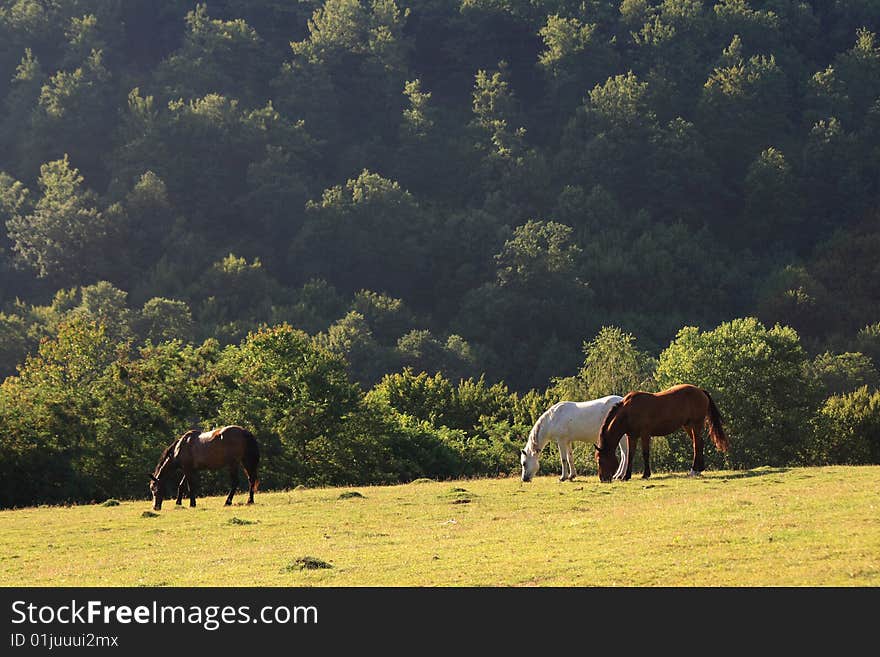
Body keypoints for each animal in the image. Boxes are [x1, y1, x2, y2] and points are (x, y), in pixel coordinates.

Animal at [596, 384, 732, 482]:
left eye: (600, 461)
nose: (603, 479)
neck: (628, 411)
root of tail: (700, 391)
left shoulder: (645, 434)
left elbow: (645, 454)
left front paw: (646, 474)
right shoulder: (632, 436)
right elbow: (630, 455)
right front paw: (626, 476)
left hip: (696, 424)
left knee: (697, 444)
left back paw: (694, 470)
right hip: (688, 426)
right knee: (699, 442)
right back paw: (699, 469)